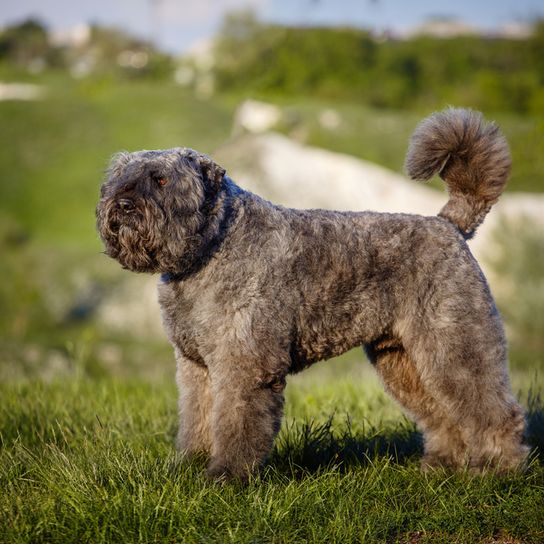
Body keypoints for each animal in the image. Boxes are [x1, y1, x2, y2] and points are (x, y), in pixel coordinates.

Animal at [96, 107, 528, 480]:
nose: (122, 205)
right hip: (403, 359)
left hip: (454, 343)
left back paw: (497, 470)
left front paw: (226, 475)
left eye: (161, 179)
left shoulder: (244, 365)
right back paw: (442, 465)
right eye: (119, 178)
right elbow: (197, 418)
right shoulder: (196, 365)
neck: (211, 246)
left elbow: (235, 423)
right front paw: (190, 464)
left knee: (493, 409)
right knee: (442, 415)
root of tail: (449, 225)